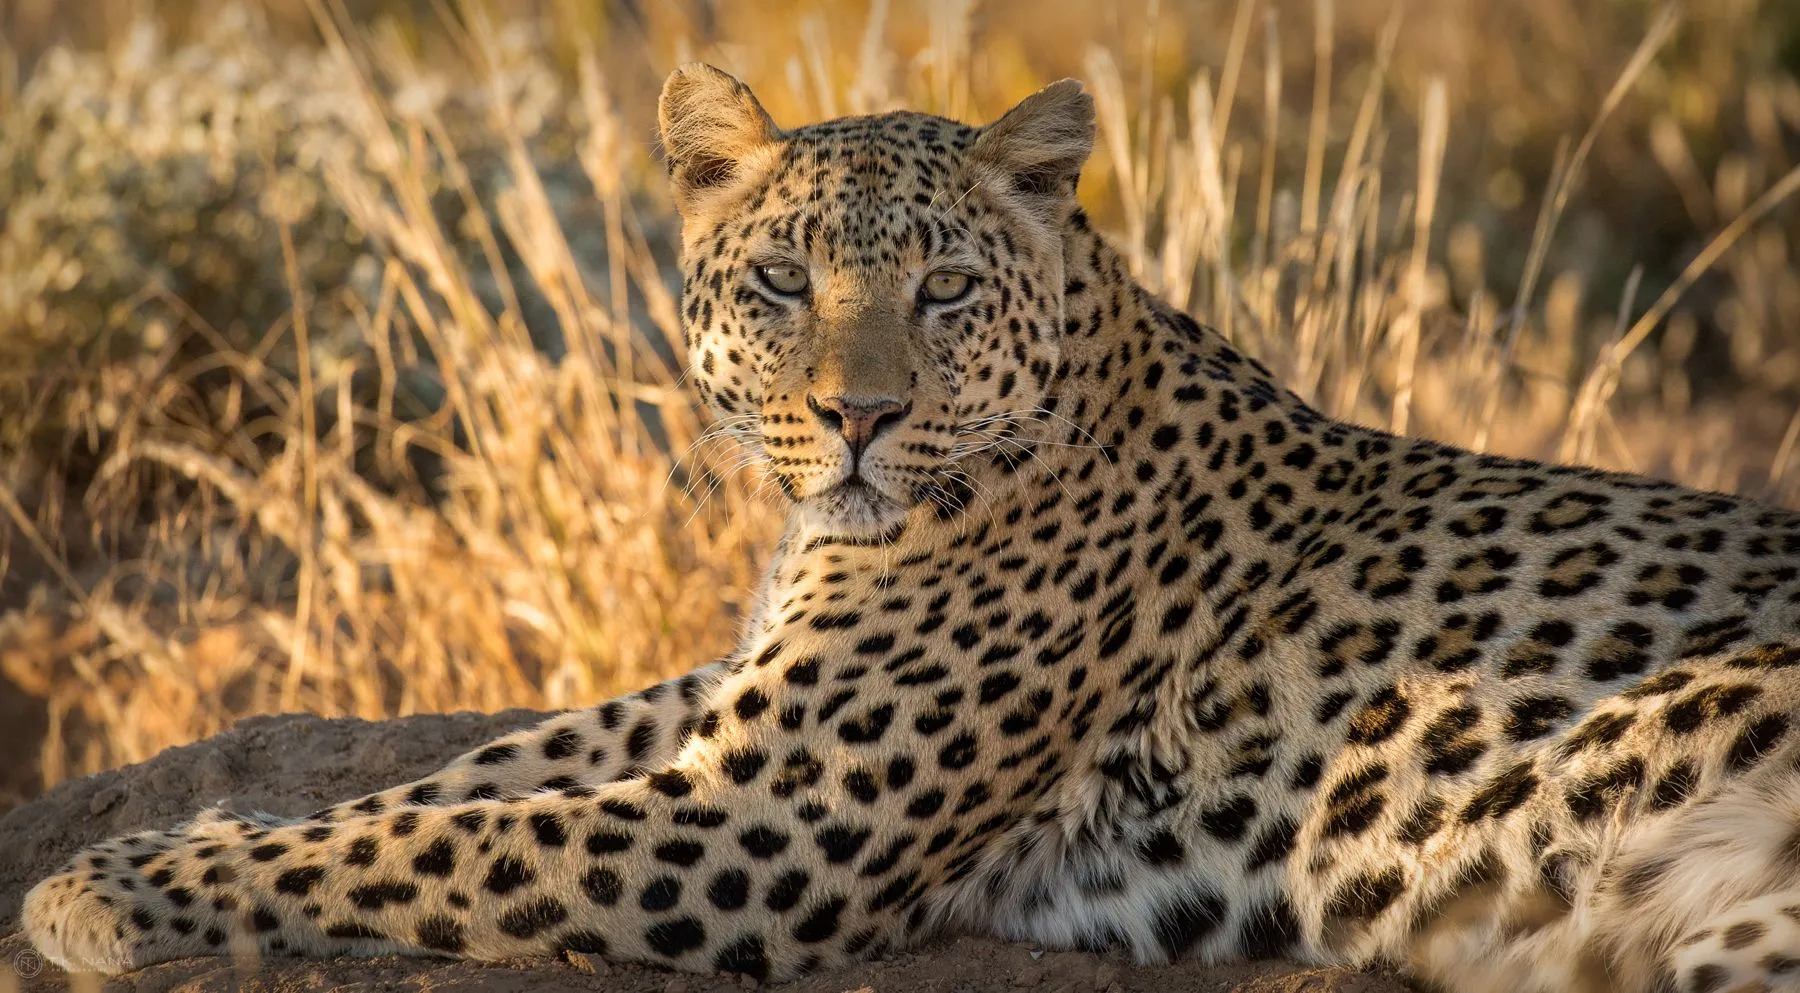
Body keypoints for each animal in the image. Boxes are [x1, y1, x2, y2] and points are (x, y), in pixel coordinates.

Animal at [23, 63, 1800, 993]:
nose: (860, 417)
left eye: (943, 289)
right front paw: (179, 834)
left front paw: (106, 894)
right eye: (779, 280)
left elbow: (439, 842)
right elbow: (468, 773)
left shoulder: (766, 819)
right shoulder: (724, 714)